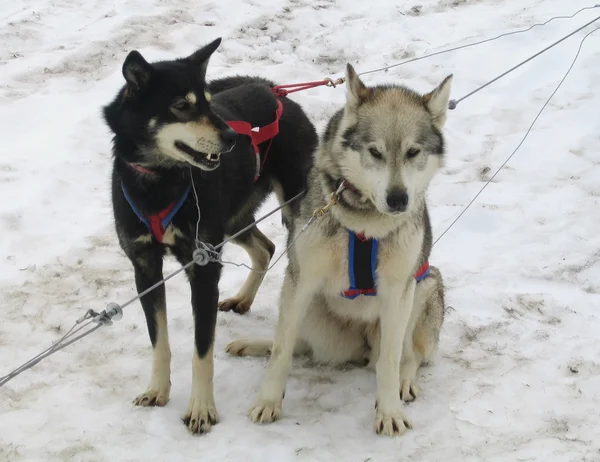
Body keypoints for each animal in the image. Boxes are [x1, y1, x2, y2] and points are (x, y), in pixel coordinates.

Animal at [102, 38, 318, 434]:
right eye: (181, 105)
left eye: (206, 101)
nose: (234, 137)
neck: (162, 182)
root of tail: (275, 92)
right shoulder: (146, 268)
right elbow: (159, 342)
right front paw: (157, 390)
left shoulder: (203, 269)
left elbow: (202, 352)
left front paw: (201, 408)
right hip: (231, 221)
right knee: (264, 248)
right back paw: (243, 298)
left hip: (293, 216)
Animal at [226, 65, 450, 436]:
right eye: (375, 152)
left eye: (413, 152)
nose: (398, 200)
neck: (365, 225)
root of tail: (359, 346)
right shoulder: (301, 280)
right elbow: (282, 350)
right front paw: (268, 402)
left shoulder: (398, 290)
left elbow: (391, 360)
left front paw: (390, 411)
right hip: (310, 308)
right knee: (298, 344)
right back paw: (254, 344)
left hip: (424, 284)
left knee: (410, 355)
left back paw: (404, 382)